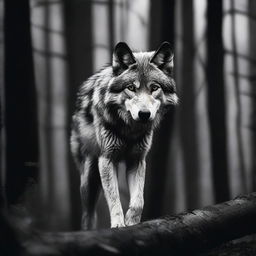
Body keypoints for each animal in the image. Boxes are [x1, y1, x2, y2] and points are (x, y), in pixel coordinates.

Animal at [70, 42, 178, 230]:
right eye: (131, 88)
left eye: (154, 88)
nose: (144, 114)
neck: (130, 130)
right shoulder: (107, 160)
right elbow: (114, 199)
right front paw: (118, 225)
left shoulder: (137, 160)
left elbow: (138, 201)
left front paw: (132, 222)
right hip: (90, 179)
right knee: (88, 214)